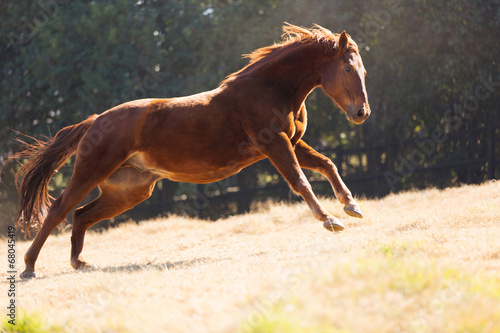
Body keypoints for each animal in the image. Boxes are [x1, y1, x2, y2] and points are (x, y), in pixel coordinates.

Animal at [11, 22, 372, 278]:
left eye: (363, 70)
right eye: (348, 69)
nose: (361, 113)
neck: (267, 88)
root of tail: (95, 120)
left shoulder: (293, 143)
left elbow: (327, 164)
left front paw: (351, 206)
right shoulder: (275, 144)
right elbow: (300, 181)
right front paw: (330, 220)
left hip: (129, 191)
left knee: (81, 215)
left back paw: (81, 263)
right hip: (91, 172)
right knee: (59, 210)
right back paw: (28, 267)